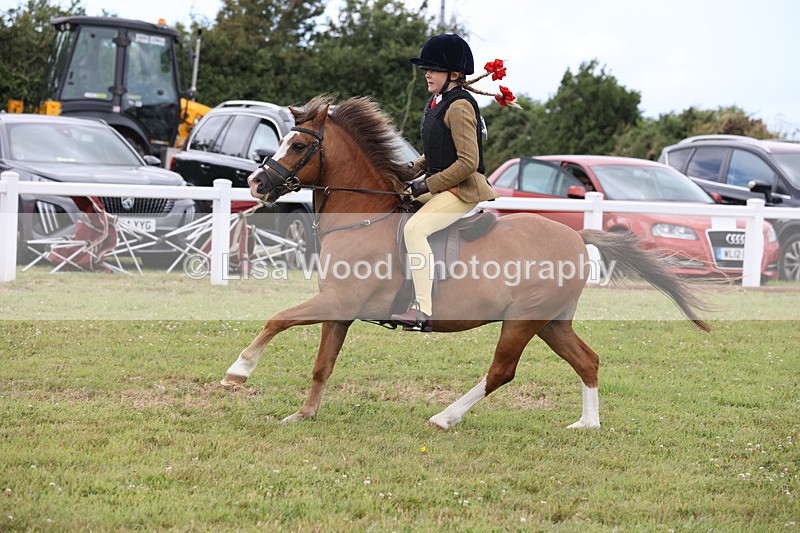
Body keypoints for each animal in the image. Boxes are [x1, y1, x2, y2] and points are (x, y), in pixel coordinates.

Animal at [220, 95, 710, 430]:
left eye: (297, 145)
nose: (257, 182)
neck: (363, 216)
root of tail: (575, 234)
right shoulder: (340, 308)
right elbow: (322, 363)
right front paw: (303, 414)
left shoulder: (340, 302)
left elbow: (277, 318)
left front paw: (237, 372)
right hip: (551, 321)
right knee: (587, 360)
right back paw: (587, 424)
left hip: (523, 321)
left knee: (501, 372)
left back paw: (445, 417)